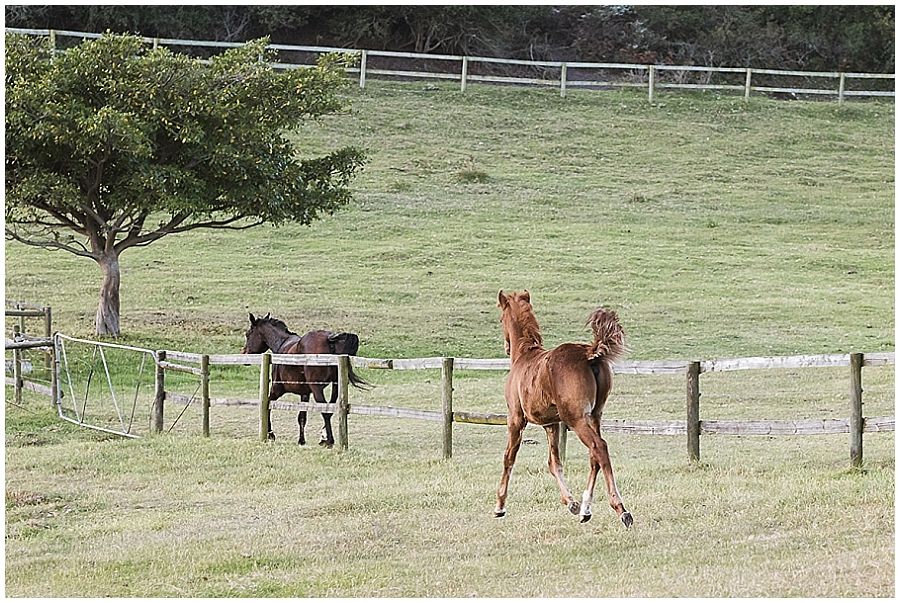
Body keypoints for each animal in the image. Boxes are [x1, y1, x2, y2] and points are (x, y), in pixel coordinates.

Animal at [241, 313, 370, 447]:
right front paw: (301, 440)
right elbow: (302, 417)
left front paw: (271, 434)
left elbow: (268, 405)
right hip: (336, 386)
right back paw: (324, 437)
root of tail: (329, 338)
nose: (244, 353)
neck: (282, 344)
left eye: (248, 334)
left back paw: (328, 440)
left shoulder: (277, 388)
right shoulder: (305, 393)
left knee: (325, 410)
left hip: (316, 388)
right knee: (331, 409)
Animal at [494, 290, 633, 527]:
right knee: (594, 457)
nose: (506, 346)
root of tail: (589, 353)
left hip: (575, 418)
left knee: (599, 448)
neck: (524, 355)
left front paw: (499, 506)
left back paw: (621, 510)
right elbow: (554, 462)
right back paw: (585, 509)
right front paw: (571, 503)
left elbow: (508, 457)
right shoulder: (552, 423)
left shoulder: (516, 419)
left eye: (501, 319)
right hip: (594, 415)